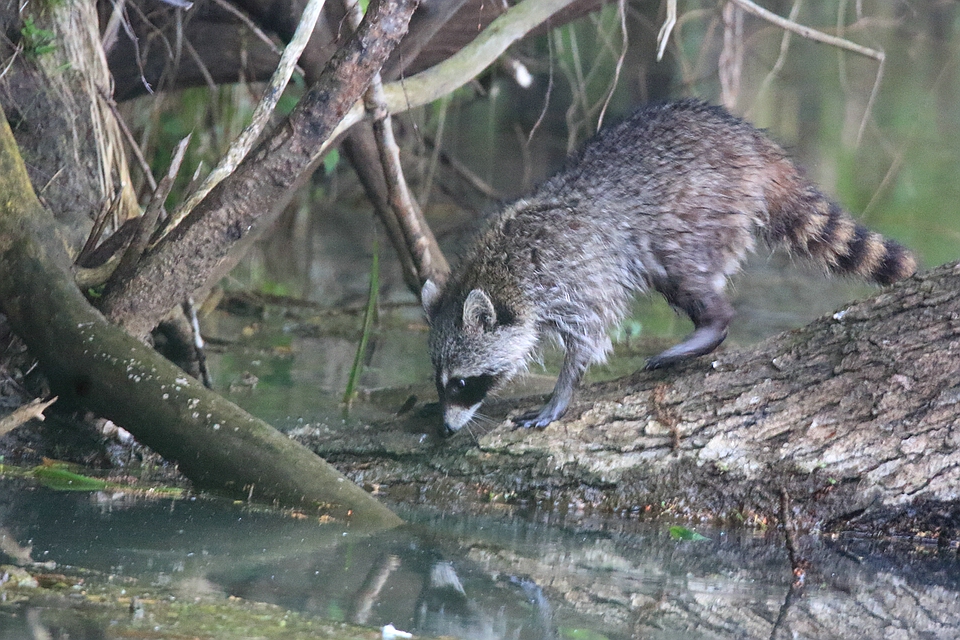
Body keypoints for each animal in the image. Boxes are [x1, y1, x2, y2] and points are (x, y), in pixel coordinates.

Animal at [424, 100, 920, 432]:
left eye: (463, 383)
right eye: (440, 380)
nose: (446, 429)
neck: (496, 275)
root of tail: (754, 144)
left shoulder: (573, 276)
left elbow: (591, 334)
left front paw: (561, 393)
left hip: (704, 207)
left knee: (681, 270)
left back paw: (712, 323)